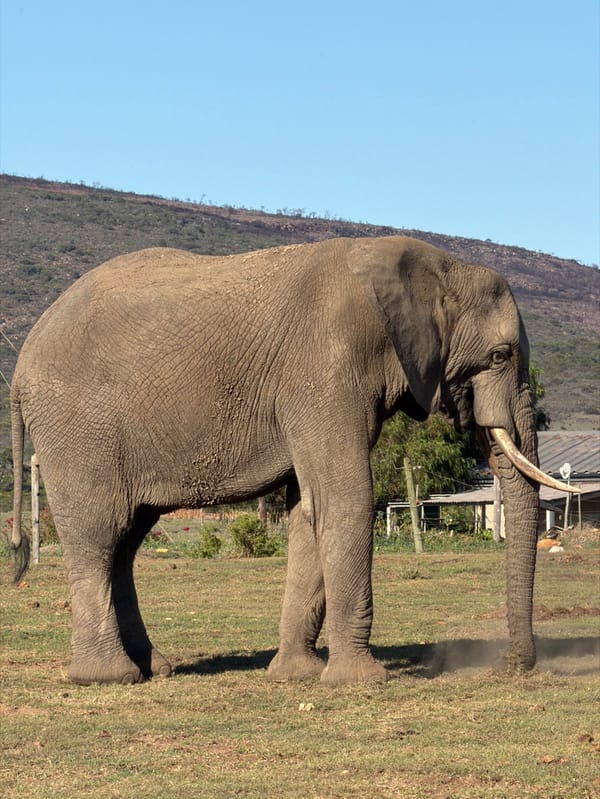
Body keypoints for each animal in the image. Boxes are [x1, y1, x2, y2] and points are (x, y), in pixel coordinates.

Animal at [10, 235, 575, 686]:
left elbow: (309, 510)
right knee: (98, 536)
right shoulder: (327, 368)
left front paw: (295, 676)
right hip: (77, 430)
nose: (511, 665)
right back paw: (109, 678)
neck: (429, 264)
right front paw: (359, 682)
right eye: (500, 356)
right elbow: (347, 498)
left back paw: (156, 670)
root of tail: (19, 368)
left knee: (125, 543)